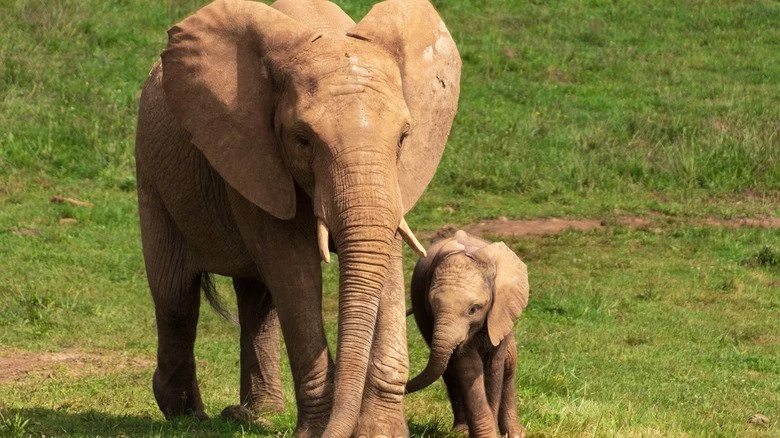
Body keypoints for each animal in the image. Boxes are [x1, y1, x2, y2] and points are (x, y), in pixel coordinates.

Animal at [134, 0, 460, 436]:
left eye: (404, 137)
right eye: (302, 140)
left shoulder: (394, 181)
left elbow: (386, 263)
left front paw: (380, 432)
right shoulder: (254, 152)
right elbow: (293, 269)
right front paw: (317, 432)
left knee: (258, 301)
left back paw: (258, 412)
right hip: (151, 176)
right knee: (176, 297)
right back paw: (188, 413)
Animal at [406, 230, 529, 438]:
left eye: (473, 309)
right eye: (432, 306)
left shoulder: (499, 310)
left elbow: (494, 367)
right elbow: (468, 367)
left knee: (510, 363)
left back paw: (516, 433)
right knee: (450, 372)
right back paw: (461, 432)